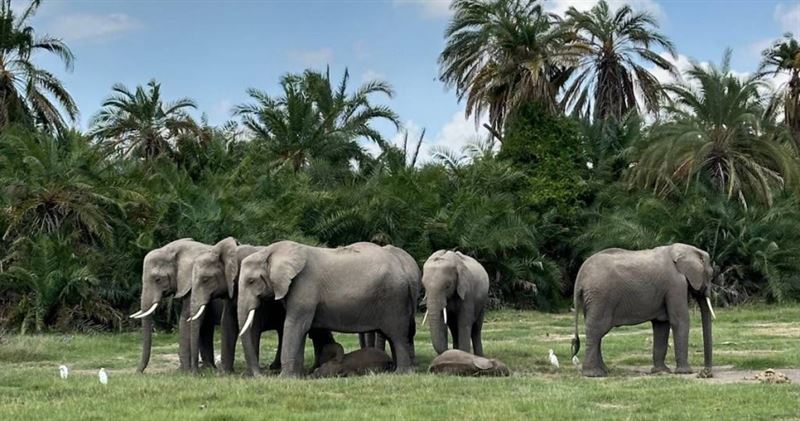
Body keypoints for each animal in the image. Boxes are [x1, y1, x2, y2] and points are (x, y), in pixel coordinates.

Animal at [186, 237, 337, 376]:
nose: (196, 373)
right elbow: (228, 322)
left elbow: (253, 325)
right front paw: (226, 374)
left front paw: (249, 375)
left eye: (205, 279)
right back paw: (277, 368)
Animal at [237, 241, 420, 377]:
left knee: (397, 335)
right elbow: (300, 329)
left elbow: (295, 325)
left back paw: (401, 373)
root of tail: (404, 268)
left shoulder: (304, 286)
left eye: (251, 281)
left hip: (394, 299)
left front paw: (285, 378)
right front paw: (297, 377)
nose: (261, 375)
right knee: (393, 336)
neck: (270, 251)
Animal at [571, 243, 716, 377]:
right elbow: (680, 320)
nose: (706, 372)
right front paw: (685, 372)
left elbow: (661, 325)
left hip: (592, 299)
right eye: (710, 275)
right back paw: (594, 374)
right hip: (601, 296)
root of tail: (580, 276)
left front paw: (661, 371)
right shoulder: (675, 284)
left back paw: (605, 371)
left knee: (597, 332)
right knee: (596, 330)